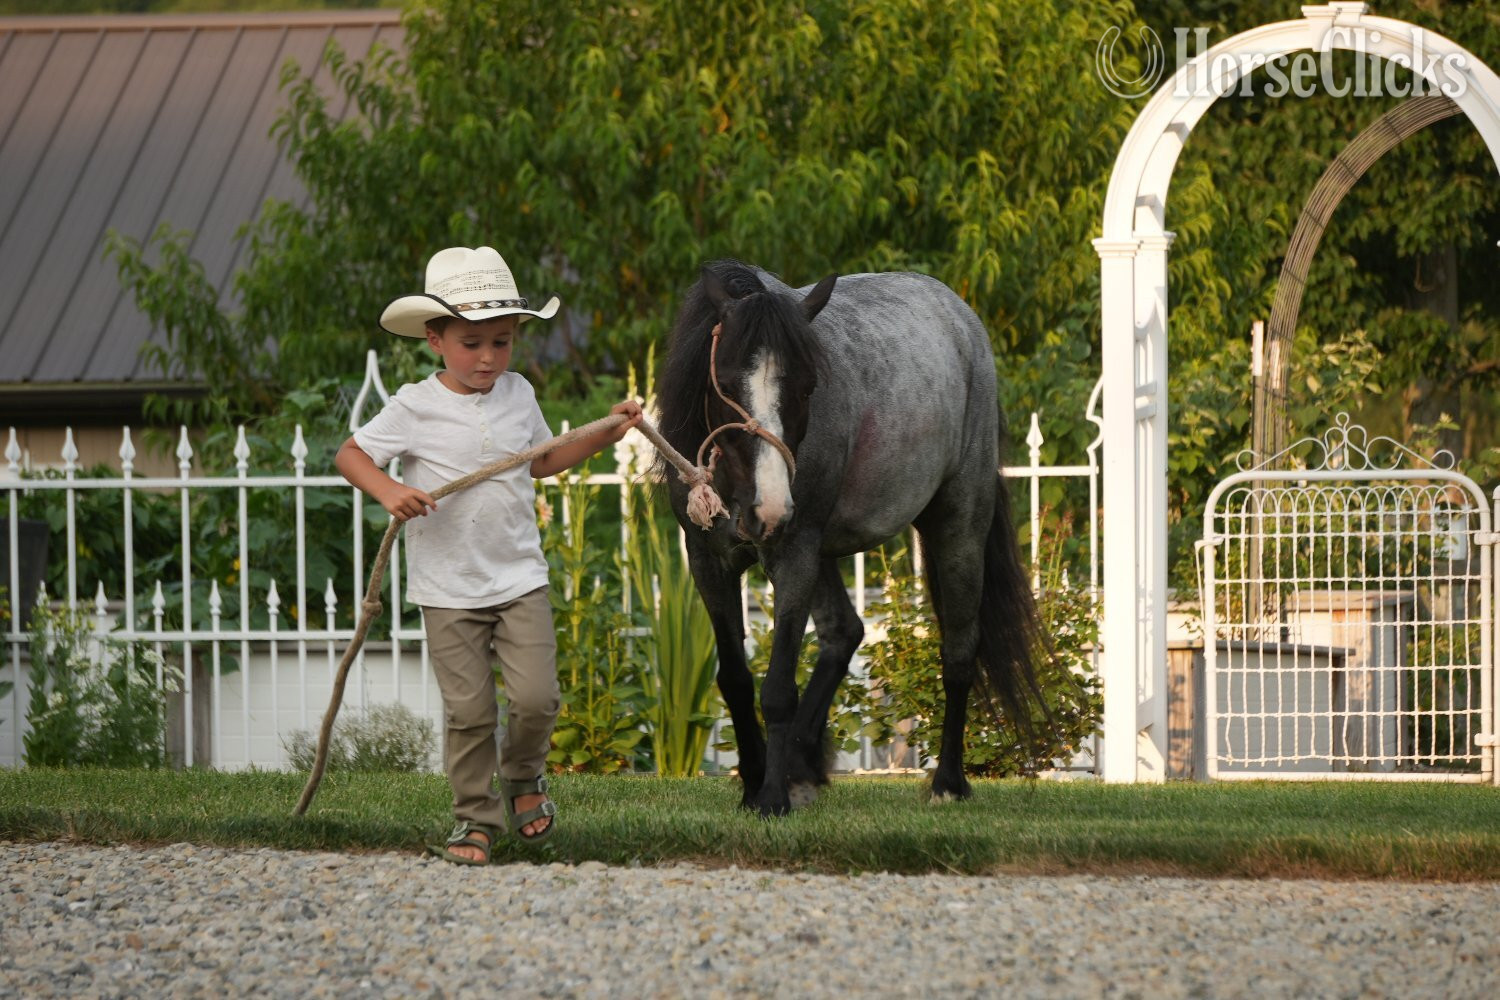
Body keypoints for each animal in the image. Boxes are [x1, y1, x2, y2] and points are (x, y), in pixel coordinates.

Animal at [656, 260, 1046, 816]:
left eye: (807, 387)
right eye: (726, 381)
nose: (769, 510)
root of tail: (960, 315)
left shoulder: (794, 553)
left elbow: (778, 688)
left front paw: (771, 797)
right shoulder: (709, 559)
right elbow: (734, 679)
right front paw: (755, 781)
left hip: (958, 528)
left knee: (958, 650)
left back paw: (948, 782)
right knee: (844, 631)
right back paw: (801, 766)